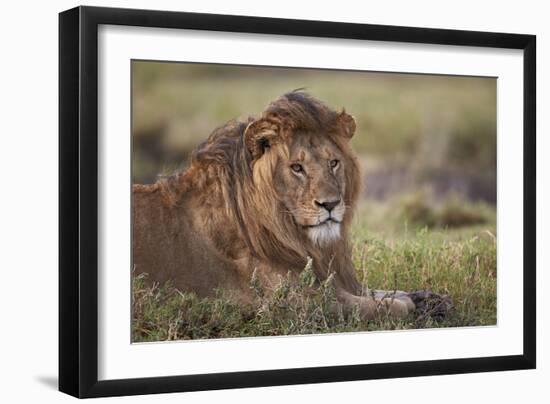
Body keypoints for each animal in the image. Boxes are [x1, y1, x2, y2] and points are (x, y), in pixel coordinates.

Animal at [132, 90, 438, 318]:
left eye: (334, 162)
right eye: (297, 168)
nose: (330, 204)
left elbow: (386, 293)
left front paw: (421, 297)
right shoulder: (292, 300)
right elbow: (383, 306)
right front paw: (405, 304)